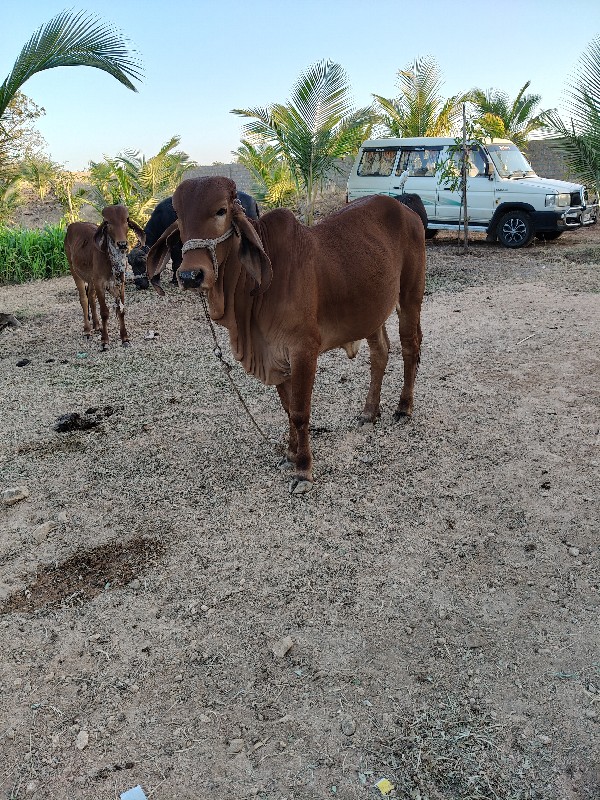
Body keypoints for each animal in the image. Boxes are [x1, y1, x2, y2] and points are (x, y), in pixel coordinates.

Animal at [64, 205, 145, 348]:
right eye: (108, 222)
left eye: (126, 220)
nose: (122, 244)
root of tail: (72, 226)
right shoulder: (99, 283)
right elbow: (105, 312)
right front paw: (105, 340)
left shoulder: (120, 282)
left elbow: (121, 310)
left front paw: (124, 337)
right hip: (74, 271)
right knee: (84, 299)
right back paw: (87, 329)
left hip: (91, 279)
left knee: (91, 296)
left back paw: (97, 326)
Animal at [147, 178, 424, 494]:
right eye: (179, 217)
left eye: (221, 211)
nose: (189, 275)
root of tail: (405, 210)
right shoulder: (274, 355)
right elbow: (288, 408)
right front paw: (290, 455)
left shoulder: (303, 350)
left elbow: (301, 412)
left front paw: (303, 470)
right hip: (370, 311)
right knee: (380, 353)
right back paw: (369, 412)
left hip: (410, 296)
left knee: (410, 348)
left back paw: (403, 408)